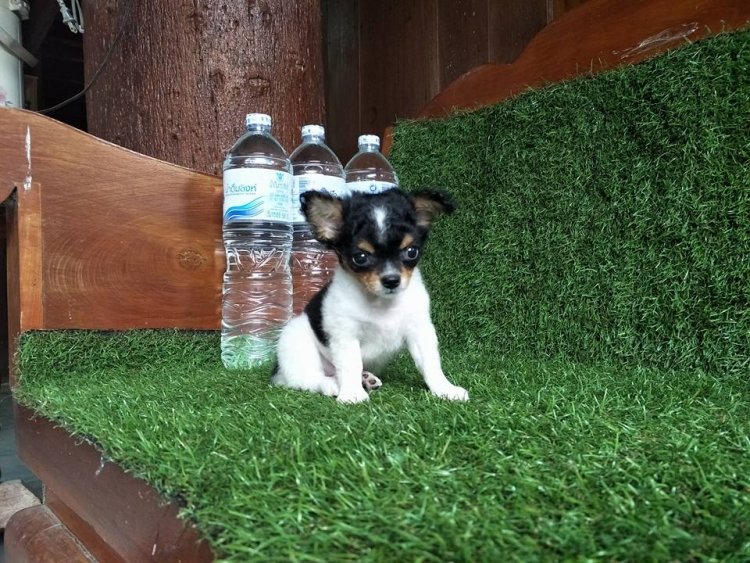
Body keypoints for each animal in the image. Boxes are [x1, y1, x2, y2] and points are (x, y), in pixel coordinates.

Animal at [272, 188, 469, 404]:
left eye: (411, 251)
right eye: (360, 257)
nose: (391, 280)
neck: (381, 303)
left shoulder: (420, 330)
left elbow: (430, 363)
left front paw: (444, 389)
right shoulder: (345, 335)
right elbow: (350, 364)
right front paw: (352, 394)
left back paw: (366, 378)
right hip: (298, 347)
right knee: (309, 379)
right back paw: (333, 384)